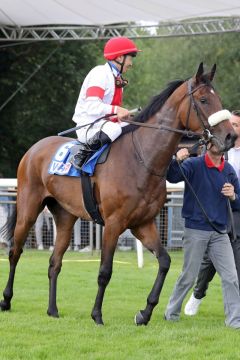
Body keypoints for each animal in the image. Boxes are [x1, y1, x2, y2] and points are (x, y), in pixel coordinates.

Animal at [0, 63, 236, 324]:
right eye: (204, 100)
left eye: (218, 98)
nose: (230, 136)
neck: (142, 159)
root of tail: (33, 149)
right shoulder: (114, 223)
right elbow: (105, 270)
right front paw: (97, 314)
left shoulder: (143, 223)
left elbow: (164, 262)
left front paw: (145, 312)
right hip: (28, 209)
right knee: (15, 252)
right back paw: (7, 300)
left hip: (65, 216)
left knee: (55, 263)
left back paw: (52, 309)